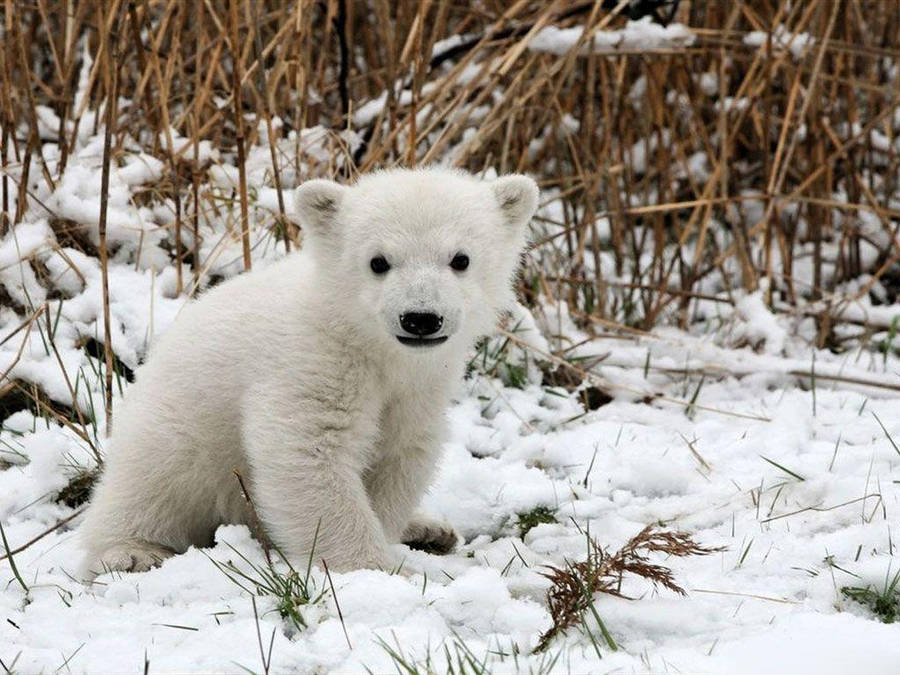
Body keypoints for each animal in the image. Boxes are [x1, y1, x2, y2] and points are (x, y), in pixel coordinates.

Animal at [78, 167, 539, 575]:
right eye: (378, 261)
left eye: (461, 259)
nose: (421, 318)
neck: (365, 340)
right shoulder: (311, 362)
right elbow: (308, 452)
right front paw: (373, 569)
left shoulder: (420, 386)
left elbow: (399, 453)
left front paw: (392, 537)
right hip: (178, 430)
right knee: (151, 484)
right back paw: (130, 552)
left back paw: (429, 528)